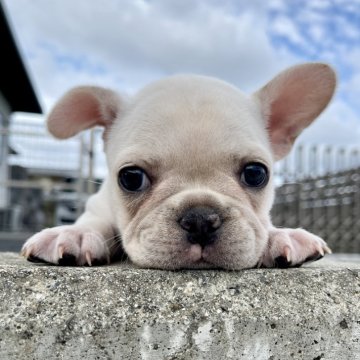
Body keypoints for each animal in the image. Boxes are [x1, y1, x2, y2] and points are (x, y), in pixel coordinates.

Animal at [21, 63, 336, 268]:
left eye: (256, 173)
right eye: (131, 178)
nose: (200, 219)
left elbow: (262, 225)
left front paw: (279, 234)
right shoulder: (98, 205)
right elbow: (93, 220)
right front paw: (75, 234)